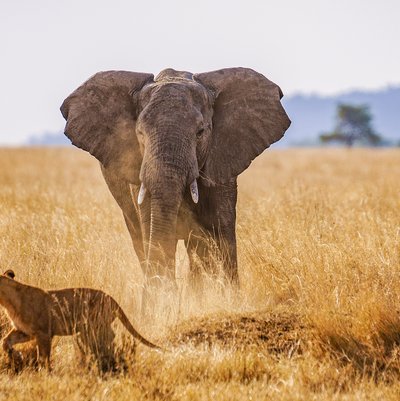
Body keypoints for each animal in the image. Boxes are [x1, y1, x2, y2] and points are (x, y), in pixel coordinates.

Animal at [60, 67, 290, 306]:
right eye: (139, 133)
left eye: (200, 132)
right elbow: (151, 225)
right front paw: (161, 304)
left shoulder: (221, 162)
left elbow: (221, 226)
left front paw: (226, 300)